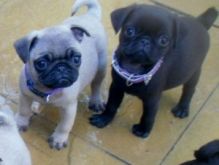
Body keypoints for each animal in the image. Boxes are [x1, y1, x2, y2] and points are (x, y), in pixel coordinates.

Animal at [13, 0, 107, 150]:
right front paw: (21, 122)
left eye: (76, 58)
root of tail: (90, 15)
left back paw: (96, 101)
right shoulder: (25, 96)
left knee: (96, 85)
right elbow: (23, 111)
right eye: (42, 63)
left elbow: (64, 126)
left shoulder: (69, 108)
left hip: (101, 66)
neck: (46, 89)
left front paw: (58, 139)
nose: (61, 67)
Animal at [89, 4, 217, 138]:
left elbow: (148, 116)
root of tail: (200, 22)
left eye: (164, 40)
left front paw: (143, 130)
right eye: (130, 31)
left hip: (194, 72)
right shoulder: (116, 87)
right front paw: (104, 119)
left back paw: (182, 108)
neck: (134, 68)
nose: (145, 40)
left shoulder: (152, 99)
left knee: (189, 90)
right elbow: (111, 105)